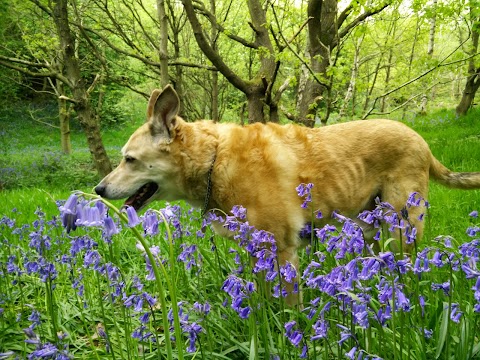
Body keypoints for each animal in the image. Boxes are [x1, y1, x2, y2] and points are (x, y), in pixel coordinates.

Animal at [95, 84, 480, 304]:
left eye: (129, 160)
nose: (98, 189)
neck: (214, 160)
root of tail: (422, 141)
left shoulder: (280, 253)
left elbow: (288, 309)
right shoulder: (258, 253)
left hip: (401, 227)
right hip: (372, 232)